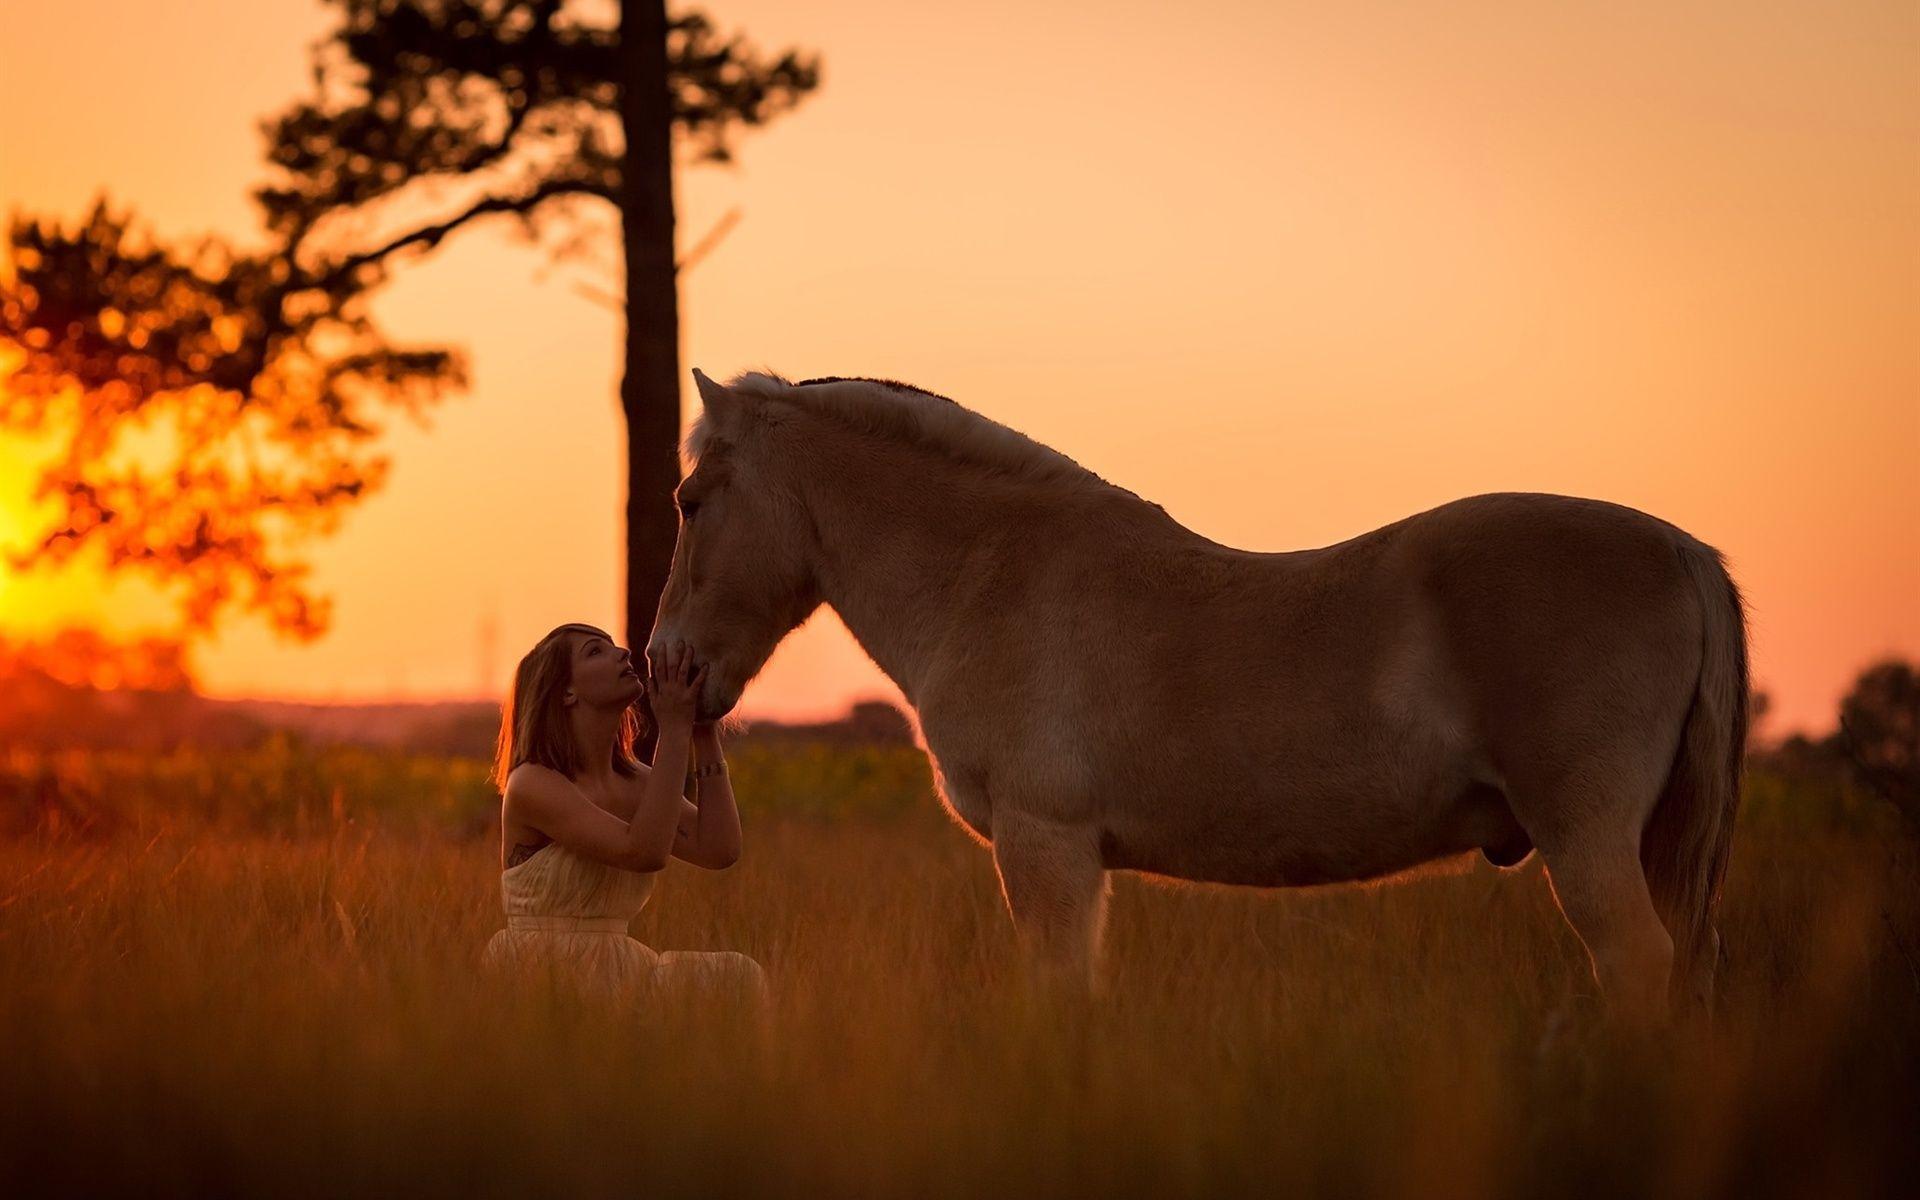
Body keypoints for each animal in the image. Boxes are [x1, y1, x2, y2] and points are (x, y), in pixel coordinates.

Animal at [647, 369, 1748, 1019]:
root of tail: (1681, 549)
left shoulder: (1046, 849)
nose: (668, 666)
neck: (992, 574)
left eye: (692, 501)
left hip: (1586, 839)